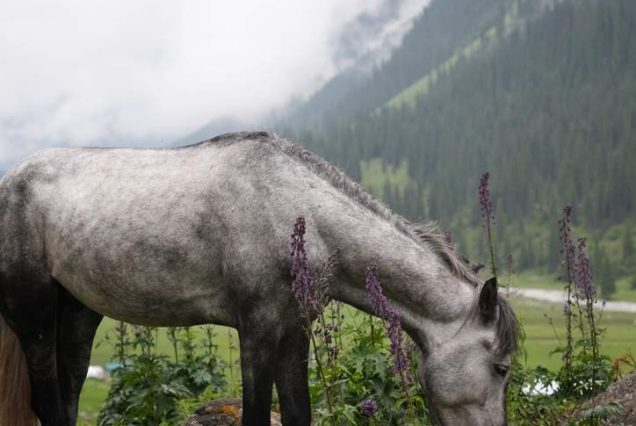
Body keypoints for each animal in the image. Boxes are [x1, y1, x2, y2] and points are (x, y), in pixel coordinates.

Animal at [0, 131, 516, 424]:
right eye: (501, 368)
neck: (299, 215)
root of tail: (11, 181)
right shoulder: (258, 331)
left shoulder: (293, 332)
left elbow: (297, 413)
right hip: (35, 317)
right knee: (49, 402)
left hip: (79, 314)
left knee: (68, 392)